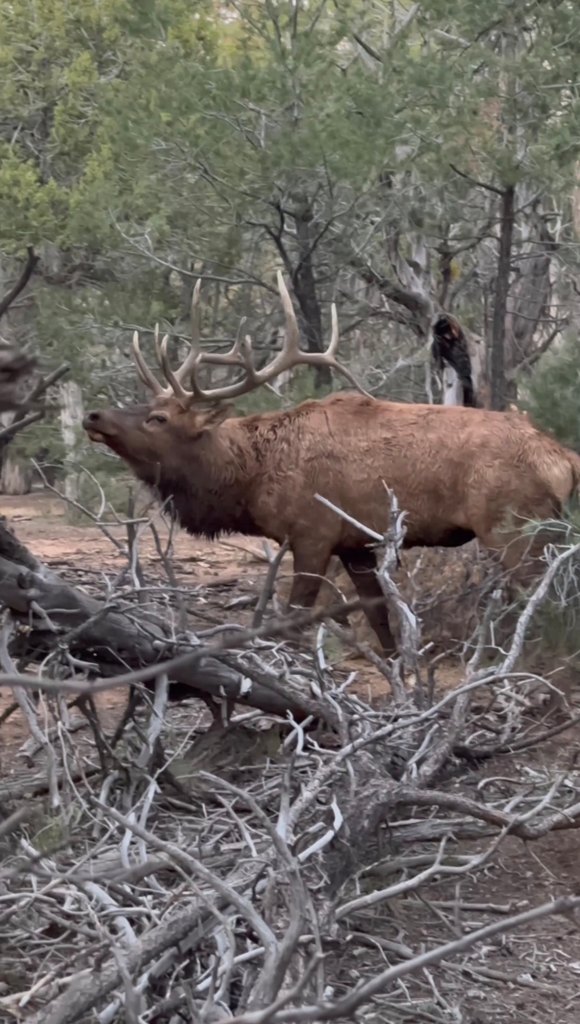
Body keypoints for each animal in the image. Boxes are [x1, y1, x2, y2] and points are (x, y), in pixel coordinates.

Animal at [83, 273, 580, 656]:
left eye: (159, 418)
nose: (93, 415)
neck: (252, 478)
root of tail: (566, 460)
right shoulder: (355, 543)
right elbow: (380, 619)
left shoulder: (312, 531)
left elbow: (294, 618)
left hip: (515, 527)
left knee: (547, 603)